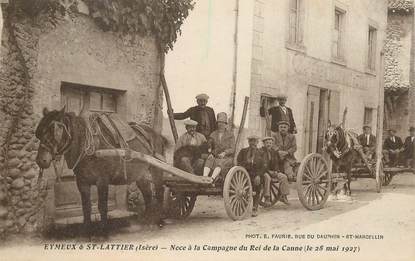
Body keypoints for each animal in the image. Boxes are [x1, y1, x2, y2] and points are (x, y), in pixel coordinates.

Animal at [35, 106, 169, 236]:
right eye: (39, 133)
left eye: (54, 131)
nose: (41, 160)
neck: (89, 146)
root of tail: (157, 135)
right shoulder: (82, 182)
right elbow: (86, 207)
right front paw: (86, 231)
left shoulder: (102, 181)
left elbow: (102, 206)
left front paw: (103, 231)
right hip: (140, 173)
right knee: (147, 193)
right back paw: (148, 220)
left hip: (156, 169)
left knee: (159, 191)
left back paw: (159, 220)